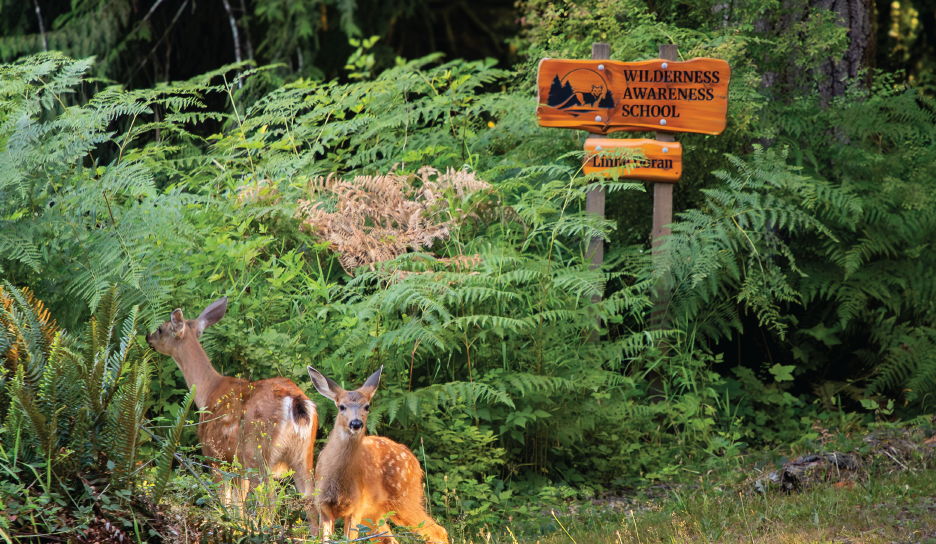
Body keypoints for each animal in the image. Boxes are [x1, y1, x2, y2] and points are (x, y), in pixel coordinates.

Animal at [145, 298, 318, 532]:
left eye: (161, 329)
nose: (148, 337)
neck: (206, 391)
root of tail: (296, 401)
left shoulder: (214, 454)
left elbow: (225, 500)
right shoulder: (236, 463)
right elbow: (238, 503)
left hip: (258, 452)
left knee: (270, 500)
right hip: (303, 455)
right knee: (313, 502)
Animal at [308, 366, 450, 544]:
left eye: (367, 406)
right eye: (341, 407)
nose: (356, 423)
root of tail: (415, 461)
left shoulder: (356, 507)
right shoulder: (323, 506)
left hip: (405, 498)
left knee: (439, 531)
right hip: (375, 513)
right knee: (392, 539)